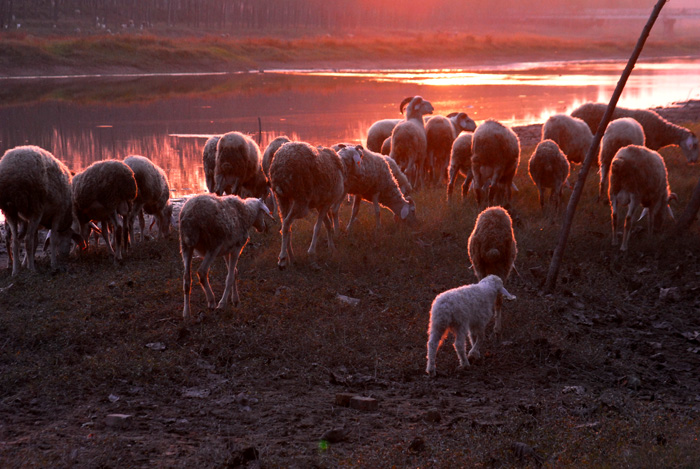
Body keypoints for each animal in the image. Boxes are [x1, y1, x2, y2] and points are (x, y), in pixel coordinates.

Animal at [0, 145, 83, 274]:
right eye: (70, 240)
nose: (65, 255)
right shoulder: (58, 214)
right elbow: (52, 239)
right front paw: (53, 264)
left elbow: (36, 242)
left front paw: (26, 263)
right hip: (35, 207)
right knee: (27, 240)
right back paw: (31, 270)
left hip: (10, 211)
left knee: (14, 241)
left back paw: (15, 271)